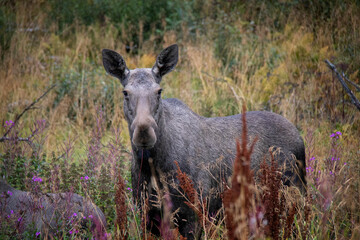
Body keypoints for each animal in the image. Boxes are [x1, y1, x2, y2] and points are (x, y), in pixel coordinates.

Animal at [102, 44, 306, 238]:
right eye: (125, 92)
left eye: (159, 91)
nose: (144, 131)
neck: (152, 164)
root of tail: (299, 137)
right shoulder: (147, 216)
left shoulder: (194, 214)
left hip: (294, 194)